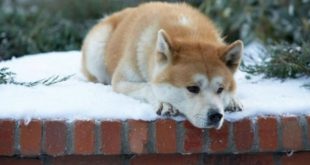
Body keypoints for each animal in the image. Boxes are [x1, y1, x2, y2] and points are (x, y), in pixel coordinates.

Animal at [81, 2, 243, 129]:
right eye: (192, 88)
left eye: (220, 89)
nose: (216, 115)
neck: (190, 33)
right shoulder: (120, 82)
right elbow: (148, 86)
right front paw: (164, 103)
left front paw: (232, 100)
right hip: (97, 49)